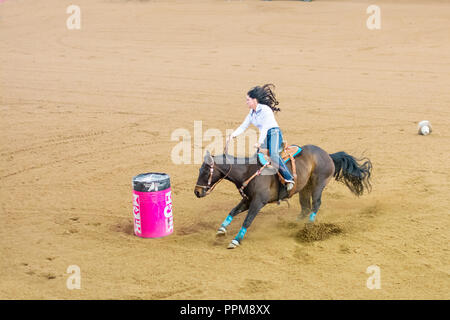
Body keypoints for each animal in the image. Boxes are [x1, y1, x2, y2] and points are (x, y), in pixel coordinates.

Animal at [193, 144, 372, 249]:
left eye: (205, 171)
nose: (197, 192)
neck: (248, 171)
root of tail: (328, 155)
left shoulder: (258, 202)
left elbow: (247, 220)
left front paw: (236, 240)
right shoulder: (247, 200)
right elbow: (232, 211)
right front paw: (221, 230)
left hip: (318, 185)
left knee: (315, 205)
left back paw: (308, 227)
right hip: (304, 188)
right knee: (305, 207)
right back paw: (294, 224)